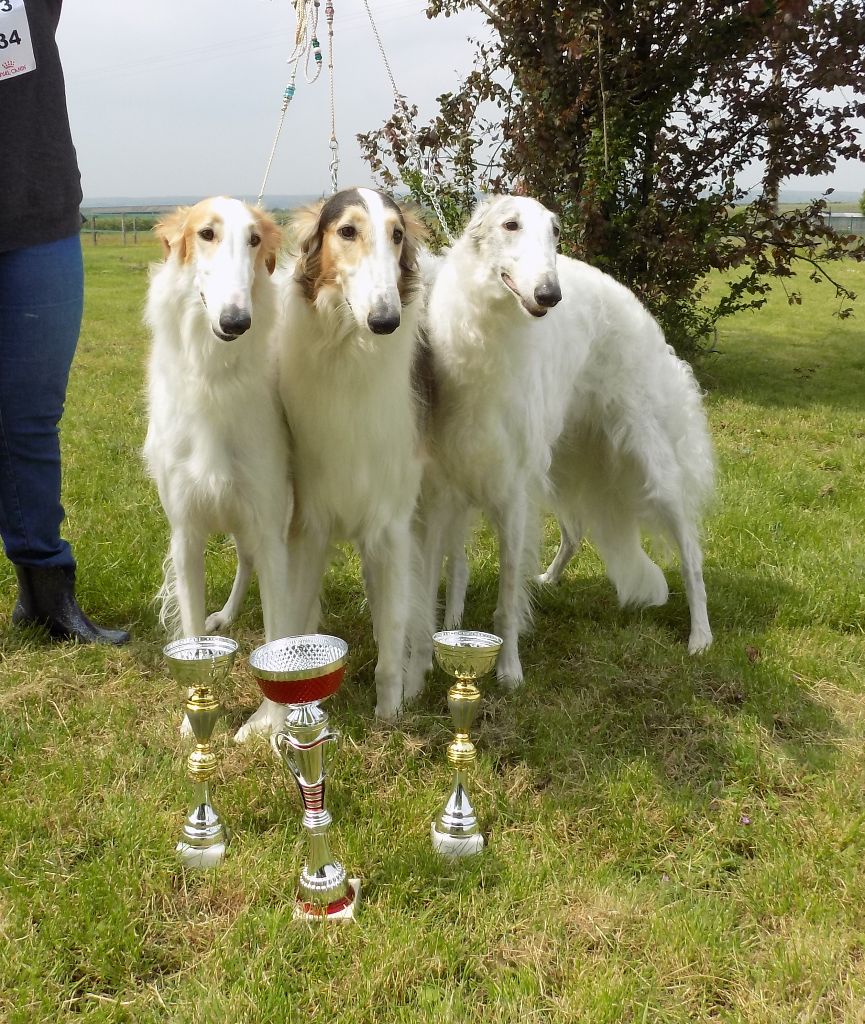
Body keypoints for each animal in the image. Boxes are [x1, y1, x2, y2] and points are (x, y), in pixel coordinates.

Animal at [140, 198, 292, 671]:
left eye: (255, 239)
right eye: (206, 233)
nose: (237, 320)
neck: (214, 378)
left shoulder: (267, 521)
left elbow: (278, 636)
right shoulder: (186, 532)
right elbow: (190, 631)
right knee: (245, 560)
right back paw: (224, 615)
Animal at [252, 186, 427, 729]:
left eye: (397, 234)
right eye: (346, 231)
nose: (385, 321)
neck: (351, 351)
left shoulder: (390, 527)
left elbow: (392, 634)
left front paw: (390, 714)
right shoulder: (309, 523)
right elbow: (290, 626)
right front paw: (269, 719)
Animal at [407, 195, 712, 692]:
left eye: (555, 231)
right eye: (510, 224)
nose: (550, 294)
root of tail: (633, 303)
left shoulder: (512, 494)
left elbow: (507, 596)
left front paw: (509, 670)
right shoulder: (441, 496)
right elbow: (428, 597)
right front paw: (416, 676)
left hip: (649, 464)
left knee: (690, 551)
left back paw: (700, 635)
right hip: (562, 467)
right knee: (574, 532)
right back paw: (548, 577)